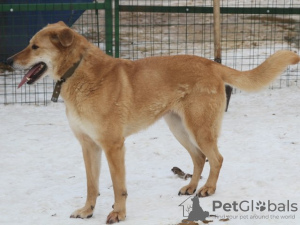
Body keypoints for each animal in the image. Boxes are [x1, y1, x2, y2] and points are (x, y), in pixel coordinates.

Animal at [7, 21, 300, 223]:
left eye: (34, 46)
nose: (8, 61)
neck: (78, 71)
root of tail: (211, 64)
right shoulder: (88, 146)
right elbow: (92, 185)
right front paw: (87, 211)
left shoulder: (113, 146)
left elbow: (118, 187)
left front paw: (119, 213)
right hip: (178, 128)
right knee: (199, 157)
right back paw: (192, 186)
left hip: (199, 129)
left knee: (216, 158)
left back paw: (208, 189)